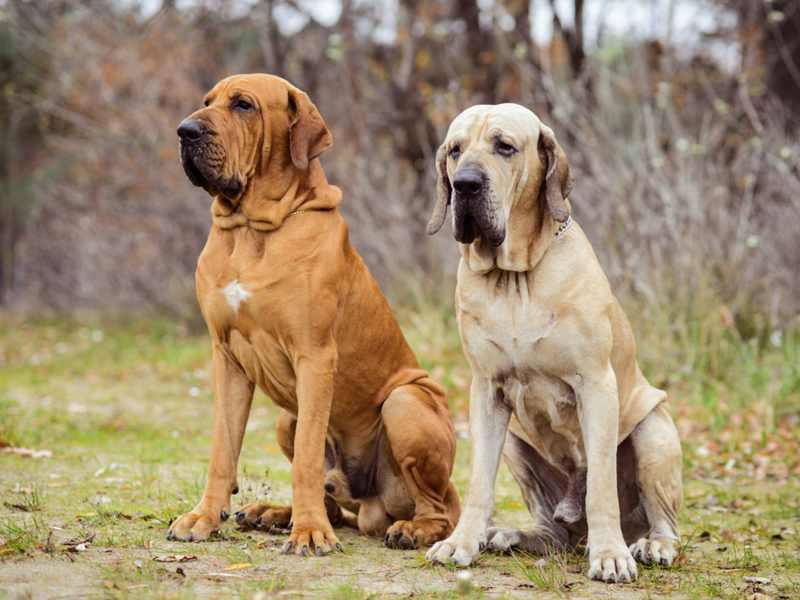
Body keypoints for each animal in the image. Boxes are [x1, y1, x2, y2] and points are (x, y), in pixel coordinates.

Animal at [171, 76, 460, 556]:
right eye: (207, 102)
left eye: (243, 105)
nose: (184, 131)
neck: (251, 230)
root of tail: (371, 505)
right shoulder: (226, 358)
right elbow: (222, 449)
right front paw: (205, 517)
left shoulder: (315, 356)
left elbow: (306, 460)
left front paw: (308, 532)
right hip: (285, 419)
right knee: (338, 507)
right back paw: (273, 513)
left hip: (405, 403)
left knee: (443, 511)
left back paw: (411, 529)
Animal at [424, 104, 680, 580]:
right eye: (455, 150)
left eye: (505, 147)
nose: (465, 184)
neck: (514, 279)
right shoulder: (486, 391)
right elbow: (478, 482)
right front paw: (461, 542)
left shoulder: (596, 385)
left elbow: (601, 485)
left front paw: (610, 555)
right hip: (515, 443)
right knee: (553, 530)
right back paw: (511, 536)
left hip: (653, 429)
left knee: (662, 521)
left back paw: (649, 545)